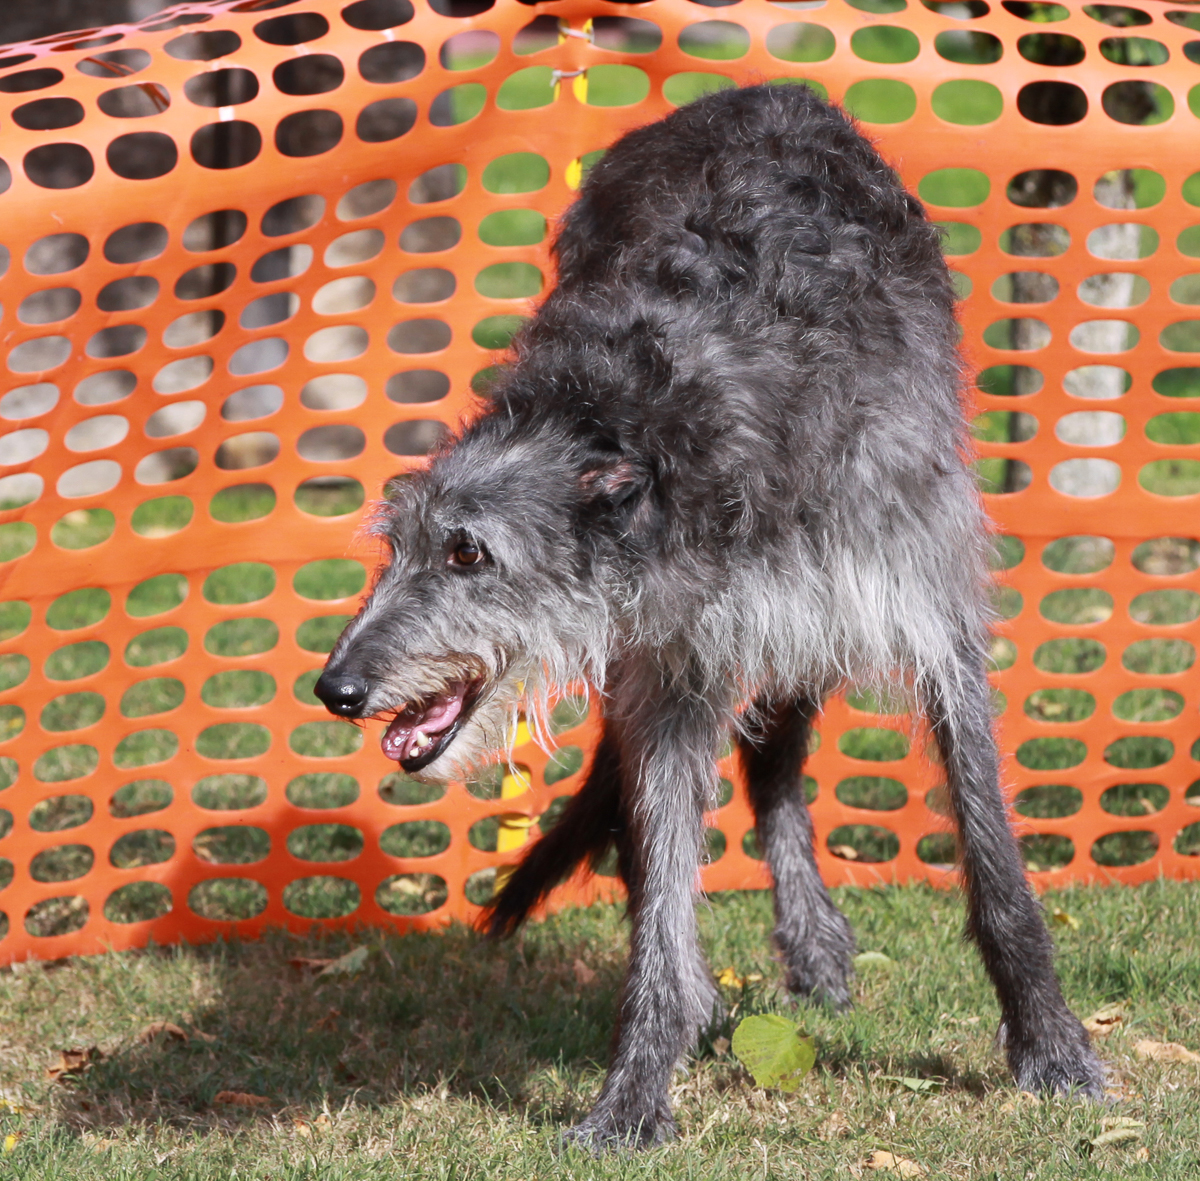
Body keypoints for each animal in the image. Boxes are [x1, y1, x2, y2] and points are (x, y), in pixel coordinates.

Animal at [316, 81, 1104, 1142]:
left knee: (775, 756)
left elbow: (994, 855)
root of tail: (758, 91)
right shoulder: (675, 661)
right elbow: (660, 886)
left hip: (813, 613)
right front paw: (638, 1087)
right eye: (394, 545)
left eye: (468, 551)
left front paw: (1050, 1042)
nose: (337, 688)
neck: (645, 418)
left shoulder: (915, 601)